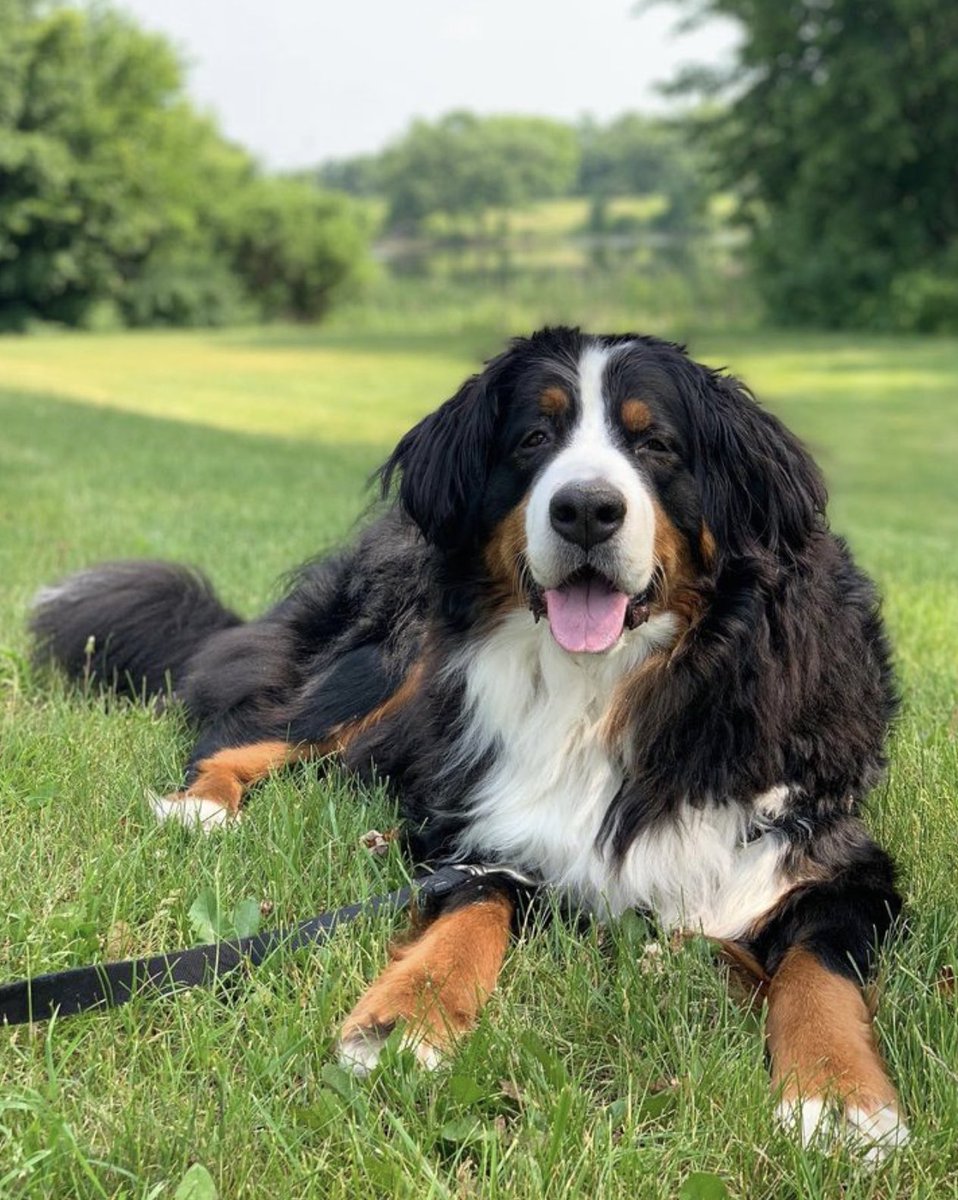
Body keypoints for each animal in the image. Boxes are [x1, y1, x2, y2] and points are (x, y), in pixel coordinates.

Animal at [33, 326, 912, 1152]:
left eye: (656, 443)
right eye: (534, 439)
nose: (585, 509)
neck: (605, 691)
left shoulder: (829, 857)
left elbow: (819, 967)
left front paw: (837, 1095)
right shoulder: (486, 832)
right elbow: (474, 904)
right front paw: (405, 1020)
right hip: (401, 661)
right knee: (258, 730)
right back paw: (204, 805)